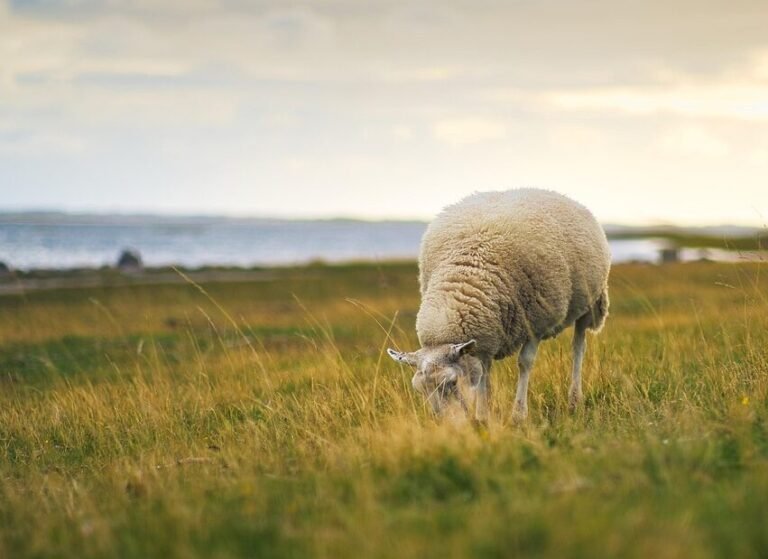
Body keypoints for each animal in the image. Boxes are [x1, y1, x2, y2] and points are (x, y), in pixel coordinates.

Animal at [387, 188, 610, 422]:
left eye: (452, 382)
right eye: (419, 389)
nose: (447, 425)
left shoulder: (535, 323)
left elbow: (525, 363)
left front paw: (518, 415)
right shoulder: (486, 336)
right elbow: (483, 373)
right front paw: (483, 416)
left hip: (589, 303)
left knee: (578, 347)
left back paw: (574, 400)